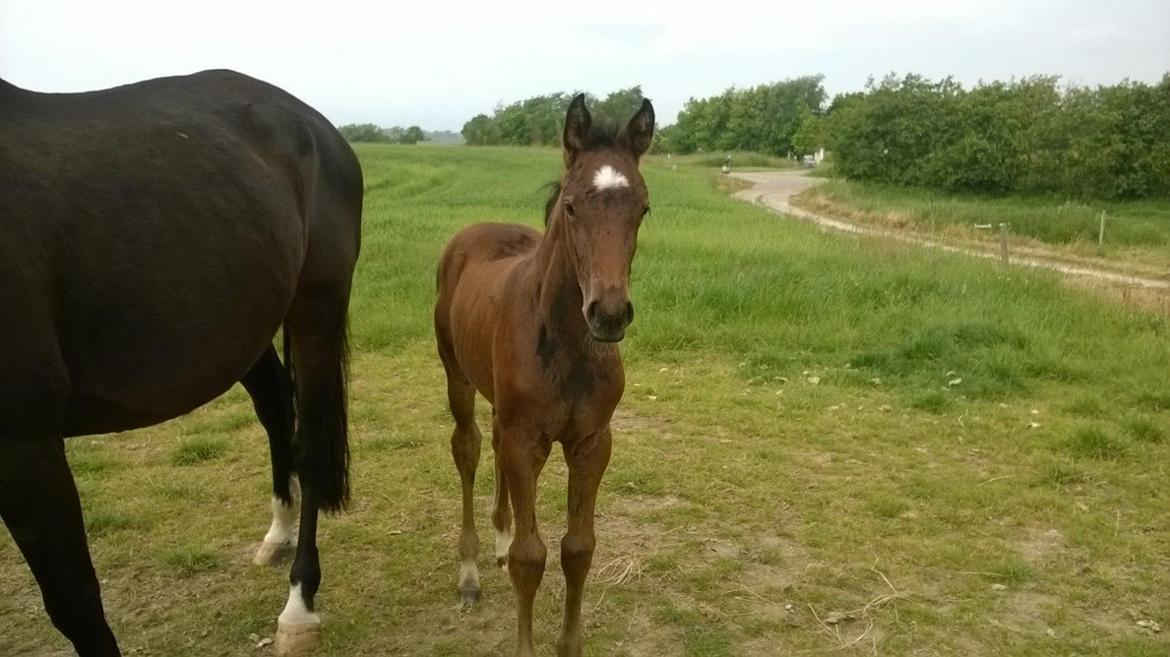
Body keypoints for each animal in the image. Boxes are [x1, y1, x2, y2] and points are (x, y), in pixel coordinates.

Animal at [0, 68, 360, 649]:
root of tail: (318, 127)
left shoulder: (25, 447)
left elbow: (75, 604)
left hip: (316, 311)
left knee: (307, 443)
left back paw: (298, 607)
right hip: (244, 322)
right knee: (276, 408)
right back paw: (277, 534)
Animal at [435, 94, 655, 649]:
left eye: (643, 207)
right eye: (571, 205)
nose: (609, 313)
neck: (569, 347)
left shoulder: (592, 442)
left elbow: (578, 548)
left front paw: (570, 645)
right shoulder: (525, 439)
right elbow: (529, 557)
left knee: (490, 442)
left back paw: (498, 534)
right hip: (457, 376)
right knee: (469, 448)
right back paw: (470, 570)